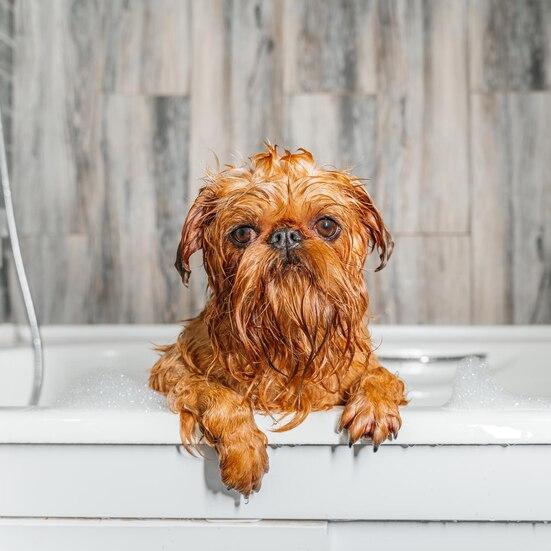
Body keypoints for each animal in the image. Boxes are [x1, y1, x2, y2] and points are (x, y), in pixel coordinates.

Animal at [149, 146, 408, 496]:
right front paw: (243, 447)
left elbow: (381, 374)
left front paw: (375, 405)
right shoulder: (172, 368)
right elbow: (215, 390)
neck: (286, 341)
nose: (286, 235)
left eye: (327, 226)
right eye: (243, 233)